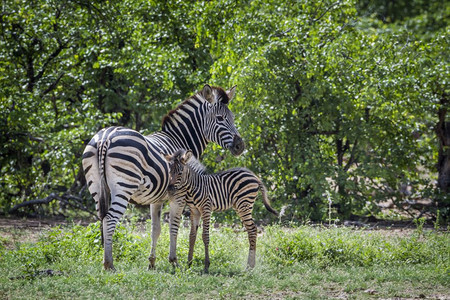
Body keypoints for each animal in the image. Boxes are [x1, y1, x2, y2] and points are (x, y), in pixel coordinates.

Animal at [81, 84, 243, 270]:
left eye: (233, 117)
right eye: (220, 118)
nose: (240, 146)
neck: (179, 139)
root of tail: (105, 138)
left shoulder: (156, 198)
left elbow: (155, 229)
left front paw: (152, 262)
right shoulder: (179, 196)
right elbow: (174, 226)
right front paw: (174, 261)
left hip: (95, 186)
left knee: (102, 218)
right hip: (124, 186)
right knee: (109, 220)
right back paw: (109, 264)